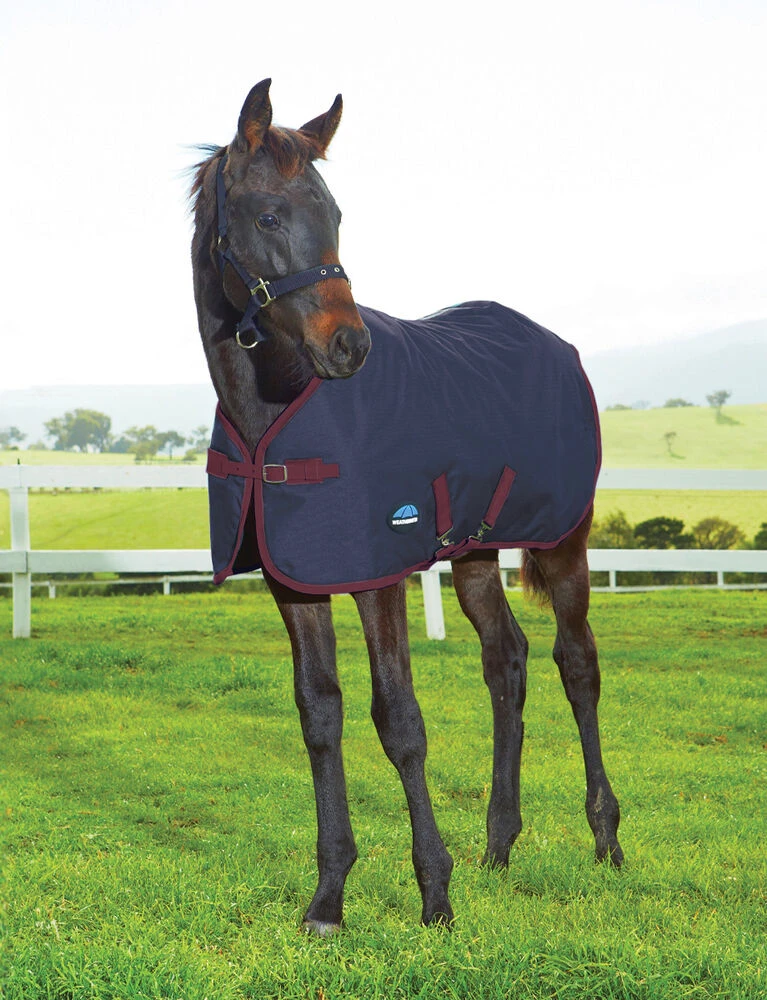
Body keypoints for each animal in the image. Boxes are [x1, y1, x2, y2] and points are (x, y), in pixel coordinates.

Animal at [189, 79, 623, 934]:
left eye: (335, 213)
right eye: (267, 216)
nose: (348, 346)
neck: (277, 412)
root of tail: (554, 343)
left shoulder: (377, 574)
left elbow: (398, 720)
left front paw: (434, 895)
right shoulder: (296, 581)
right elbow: (319, 716)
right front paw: (328, 898)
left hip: (563, 540)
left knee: (576, 663)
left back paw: (605, 839)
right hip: (477, 551)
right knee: (506, 661)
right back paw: (499, 845)